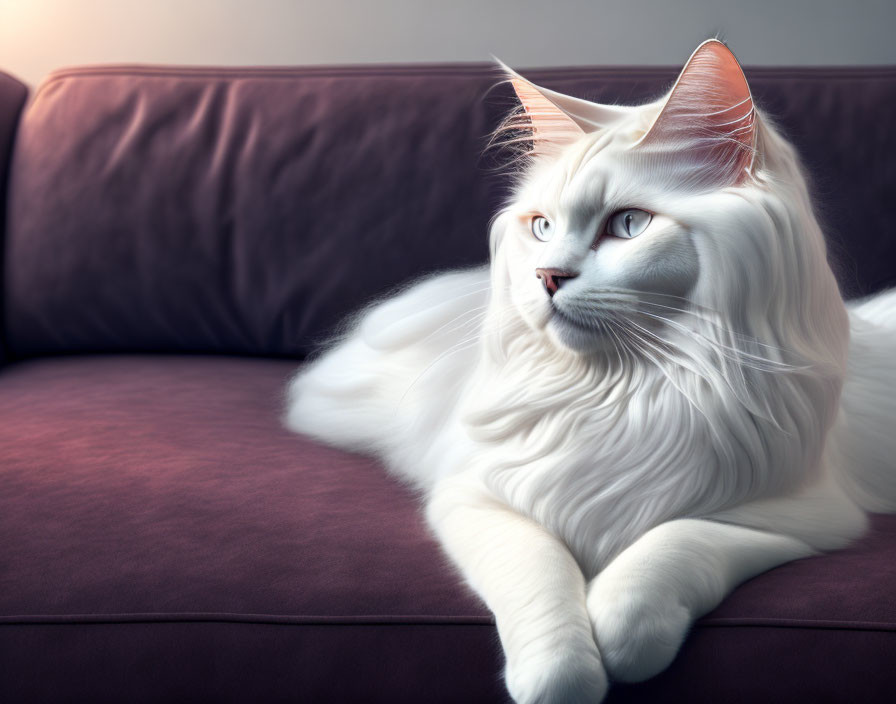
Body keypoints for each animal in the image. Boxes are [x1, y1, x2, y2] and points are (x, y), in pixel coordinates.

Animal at [284, 41, 896, 700]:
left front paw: (621, 639)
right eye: (542, 227)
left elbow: (657, 567)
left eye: (628, 225)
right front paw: (563, 675)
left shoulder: (801, 519)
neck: (624, 393)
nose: (546, 276)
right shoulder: (474, 497)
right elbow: (541, 580)